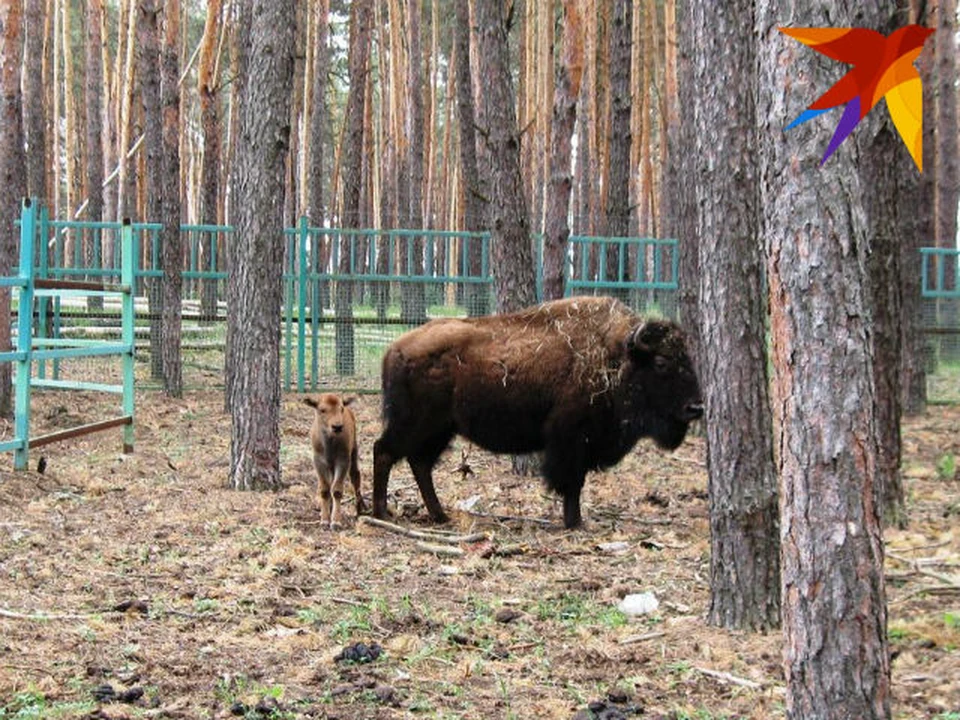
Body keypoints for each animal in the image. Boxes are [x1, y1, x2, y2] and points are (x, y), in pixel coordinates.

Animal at [302, 394, 366, 528]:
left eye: (341, 409)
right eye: (322, 410)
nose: (337, 427)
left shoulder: (342, 461)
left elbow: (336, 490)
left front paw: (336, 521)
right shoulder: (319, 462)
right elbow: (325, 489)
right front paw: (324, 519)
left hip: (354, 451)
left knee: (355, 475)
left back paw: (359, 509)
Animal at [372, 294, 700, 528]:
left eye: (689, 360)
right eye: (661, 363)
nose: (696, 407)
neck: (615, 357)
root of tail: (393, 349)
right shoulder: (570, 440)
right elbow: (572, 483)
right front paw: (575, 523)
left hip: (441, 430)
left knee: (420, 463)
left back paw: (439, 516)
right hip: (416, 424)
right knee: (385, 451)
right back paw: (381, 513)